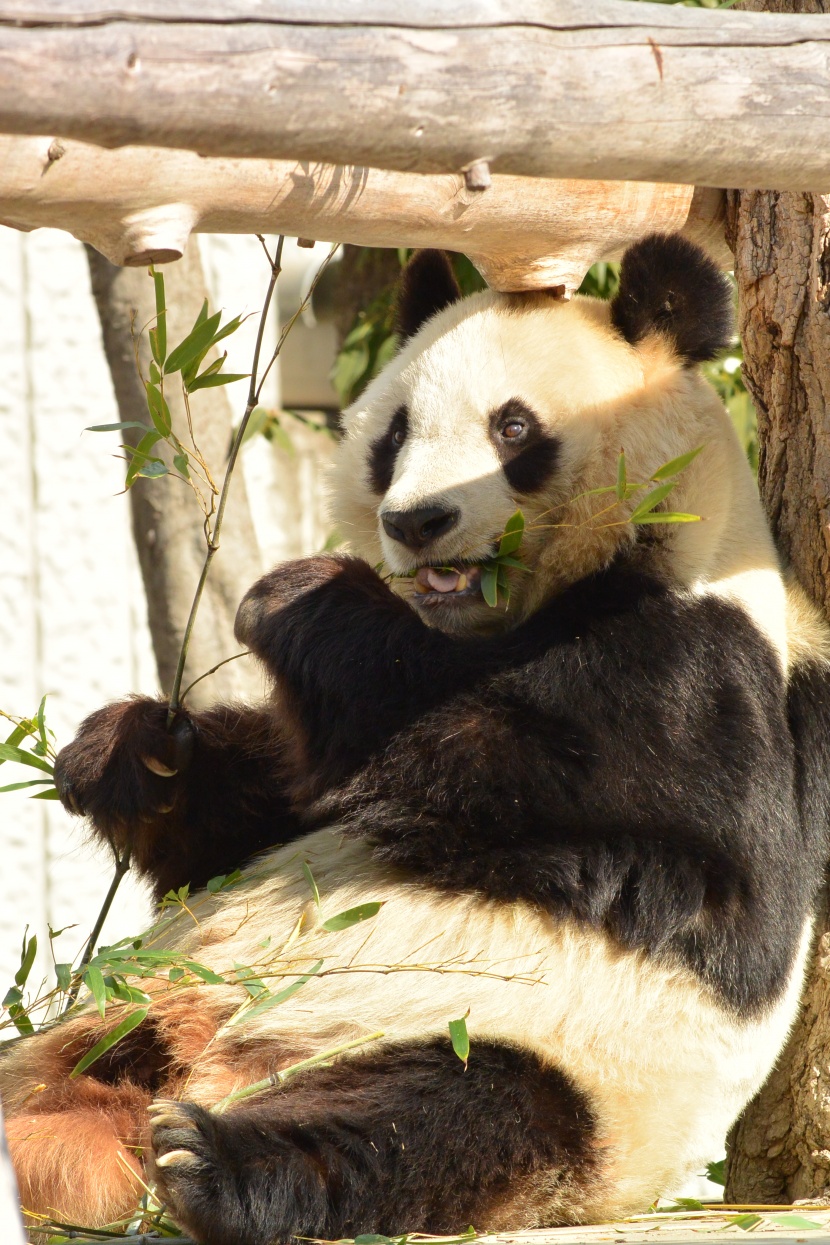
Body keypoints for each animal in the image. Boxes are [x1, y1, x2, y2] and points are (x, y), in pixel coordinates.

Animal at [1, 234, 830, 1245]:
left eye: (513, 428)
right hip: (105, 1027)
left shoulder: (704, 666)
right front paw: (128, 750)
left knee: (435, 1120)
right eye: (394, 432)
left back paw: (215, 1162)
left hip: (540, 1060)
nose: (414, 521)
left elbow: (599, 805)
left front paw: (299, 595)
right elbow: (257, 811)